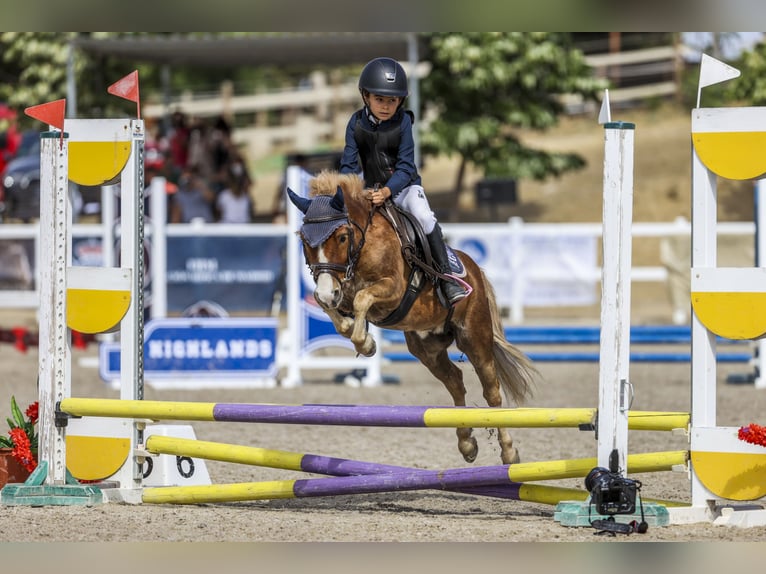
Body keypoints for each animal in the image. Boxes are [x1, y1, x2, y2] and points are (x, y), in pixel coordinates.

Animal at [288, 172, 540, 468]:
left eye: (341, 237)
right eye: (304, 241)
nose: (329, 294)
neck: (362, 246)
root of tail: (474, 269)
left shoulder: (393, 289)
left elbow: (362, 298)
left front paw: (365, 344)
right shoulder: (339, 293)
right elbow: (333, 309)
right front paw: (359, 335)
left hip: (474, 338)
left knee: (492, 391)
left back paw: (509, 452)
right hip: (427, 348)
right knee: (455, 380)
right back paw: (467, 444)